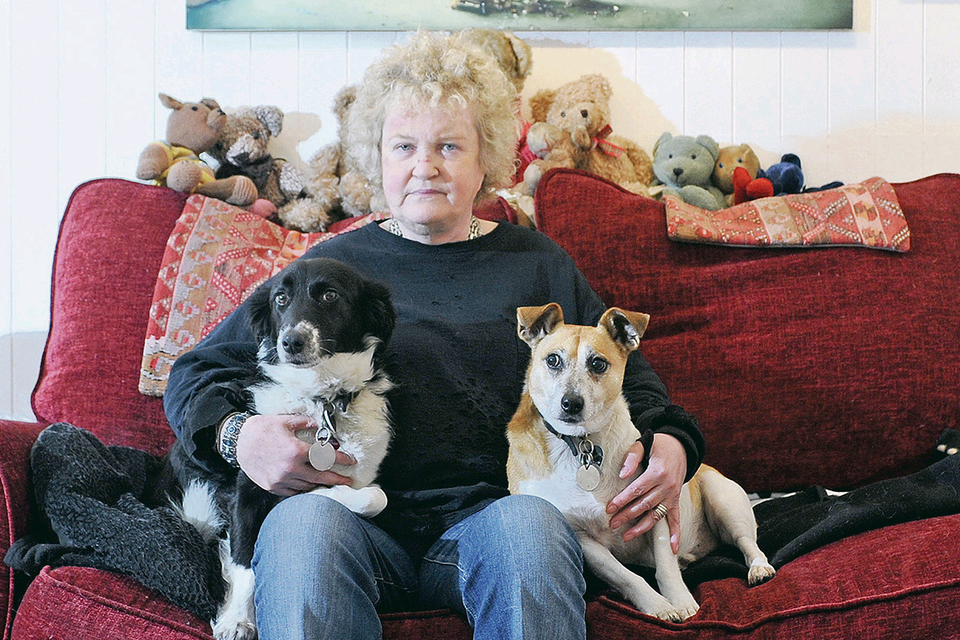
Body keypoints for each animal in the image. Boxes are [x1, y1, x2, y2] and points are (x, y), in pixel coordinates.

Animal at [168, 256, 394, 640]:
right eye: (281, 299)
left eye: (330, 295)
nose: (291, 342)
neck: (319, 398)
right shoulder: (250, 485)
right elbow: (244, 563)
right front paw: (236, 619)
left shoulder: (362, 476)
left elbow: (374, 497)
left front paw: (319, 493)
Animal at [506, 304, 776, 620]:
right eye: (552, 360)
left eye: (598, 364)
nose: (571, 403)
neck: (581, 443)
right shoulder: (583, 540)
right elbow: (626, 576)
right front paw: (659, 606)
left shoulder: (654, 506)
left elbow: (666, 566)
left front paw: (681, 602)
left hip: (724, 502)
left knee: (748, 544)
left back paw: (759, 568)